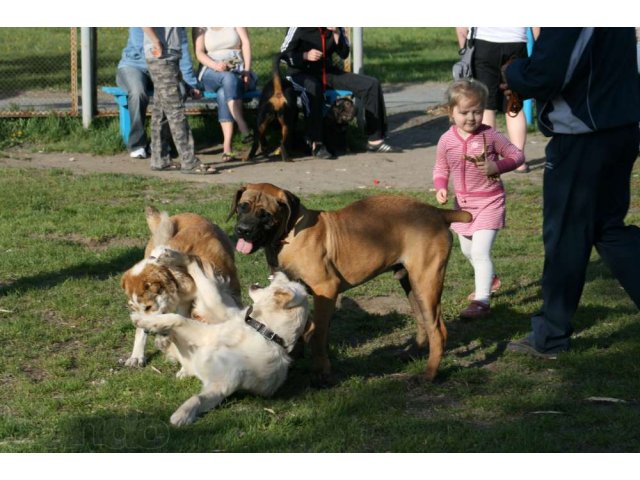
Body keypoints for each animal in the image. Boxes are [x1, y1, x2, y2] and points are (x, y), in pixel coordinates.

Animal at [121, 204, 241, 370]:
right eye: (136, 308)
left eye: (148, 307)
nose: (147, 330)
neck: (172, 272)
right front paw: (138, 354)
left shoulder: (187, 301)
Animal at [132, 249, 308, 426]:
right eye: (287, 280)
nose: (280, 269)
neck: (262, 332)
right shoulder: (205, 333)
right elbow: (175, 318)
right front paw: (145, 320)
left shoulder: (221, 386)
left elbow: (198, 398)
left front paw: (183, 414)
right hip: (214, 304)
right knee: (195, 263)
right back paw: (171, 257)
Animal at [228, 182, 472, 384]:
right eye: (242, 207)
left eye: (265, 215)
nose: (242, 230)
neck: (288, 234)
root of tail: (438, 213)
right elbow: (303, 329)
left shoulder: (326, 290)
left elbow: (317, 334)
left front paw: (322, 373)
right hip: (410, 283)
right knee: (423, 322)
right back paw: (409, 354)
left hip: (426, 282)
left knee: (438, 330)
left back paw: (430, 373)